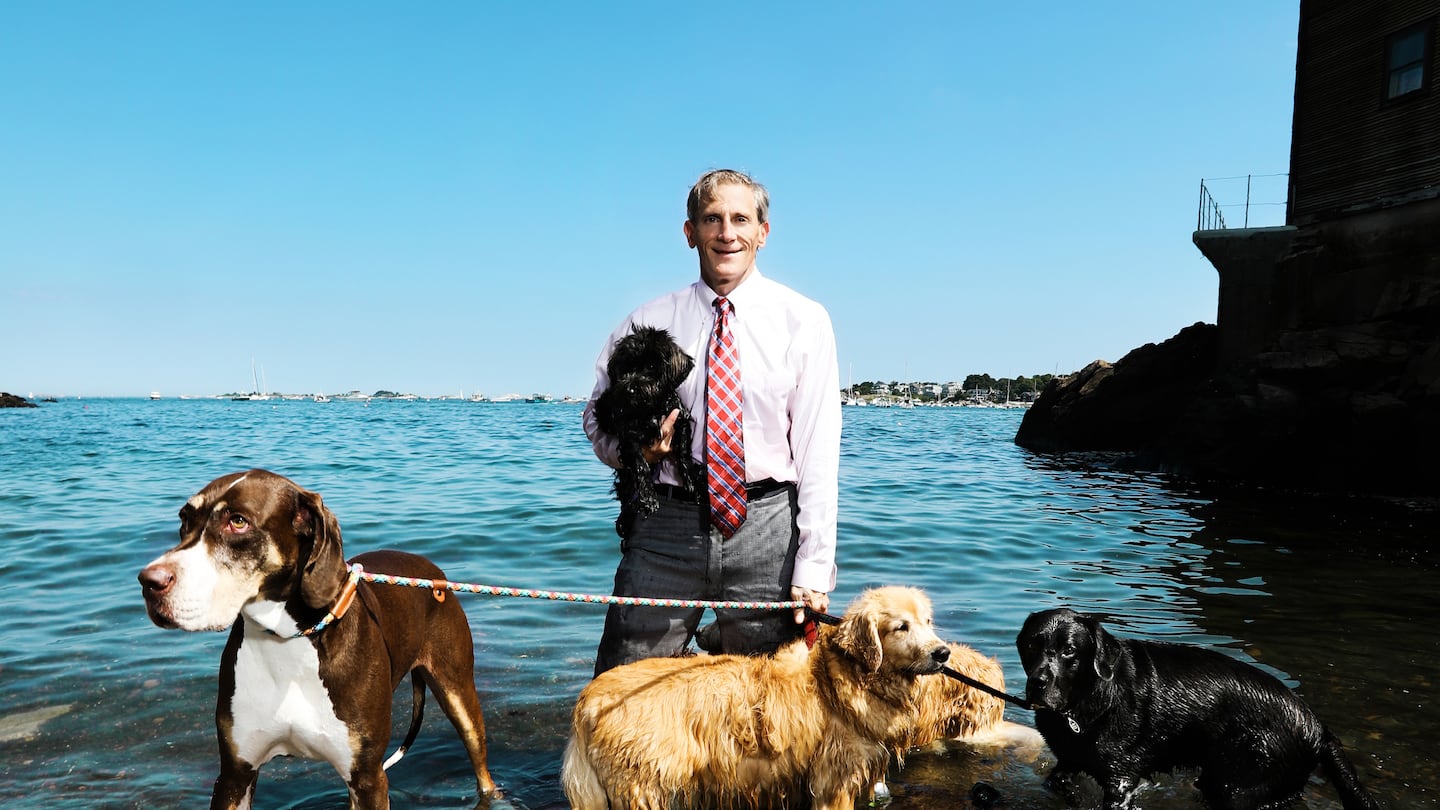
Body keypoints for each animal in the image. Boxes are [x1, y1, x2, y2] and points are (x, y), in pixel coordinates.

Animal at [138, 466, 501, 807]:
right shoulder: (234, 774)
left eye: (238, 522)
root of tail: (433, 573)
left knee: (482, 768)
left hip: (459, 695)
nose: (148, 582)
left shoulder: (368, 777)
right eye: (185, 519)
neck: (285, 640)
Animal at [561, 582, 956, 807]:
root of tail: (587, 701)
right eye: (901, 627)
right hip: (642, 786)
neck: (848, 675)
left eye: (928, 622)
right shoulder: (833, 781)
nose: (943, 653)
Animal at [593, 321, 699, 536]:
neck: (651, 408)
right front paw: (649, 497)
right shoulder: (629, 436)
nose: (630, 389)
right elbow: (640, 465)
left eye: (651, 366)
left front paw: (691, 480)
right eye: (626, 367)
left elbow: (684, 453)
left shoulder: (680, 420)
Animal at [1019, 605, 1376, 807]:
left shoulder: (1120, 779)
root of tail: (1318, 727)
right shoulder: (1067, 761)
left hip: (1242, 789)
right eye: (1032, 646)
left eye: (1069, 650)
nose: (1038, 682)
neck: (1087, 701)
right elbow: (1055, 782)